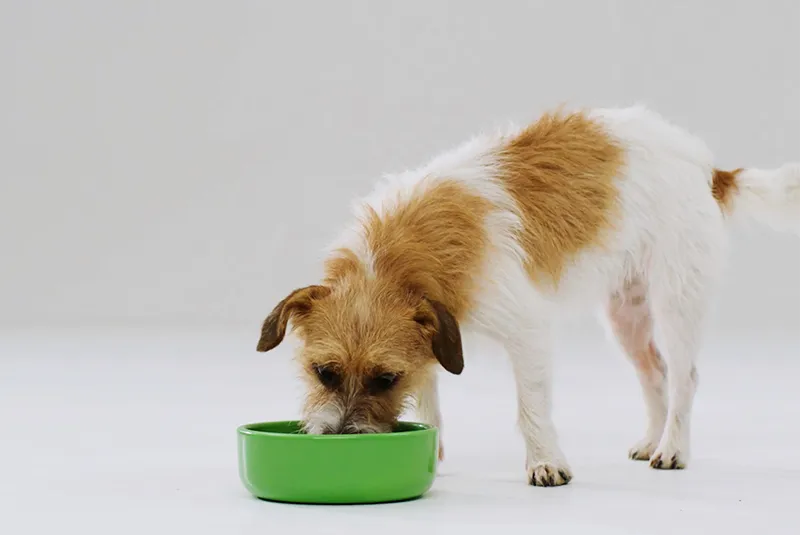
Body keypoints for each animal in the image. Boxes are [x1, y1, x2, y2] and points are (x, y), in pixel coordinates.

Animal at [258, 104, 800, 486]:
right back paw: (651, 439)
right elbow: (430, 397)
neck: (392, 260)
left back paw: (673, 448)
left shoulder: (526, 332)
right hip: (626, 316)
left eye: (385, 379)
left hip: (676, 303)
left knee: (685, 376)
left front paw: (546, 463)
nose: (338, 439)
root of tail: (708, 170)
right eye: (323, 372)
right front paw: (433, 449)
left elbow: (531, 406)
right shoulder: (433, 343)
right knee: (655, 374)